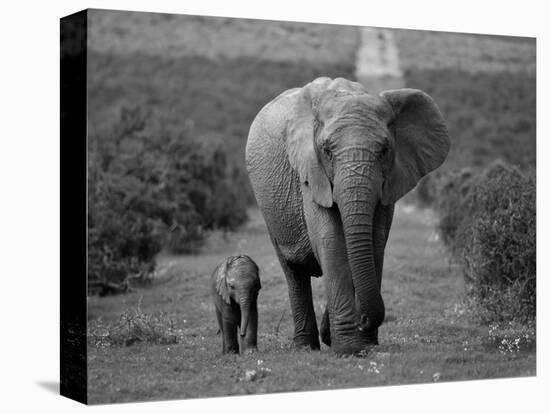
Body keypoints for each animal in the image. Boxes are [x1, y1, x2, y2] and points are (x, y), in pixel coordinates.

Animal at [247, 76, 452, 354]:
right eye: (327, 151)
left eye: (385, 150)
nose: (363, 320)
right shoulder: (311, 174)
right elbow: (331, 241)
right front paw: (348, 349)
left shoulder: (389, 181)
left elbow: (375, 242)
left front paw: (364, 344)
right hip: (269, 208)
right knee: (293, 271)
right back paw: (305, 347)